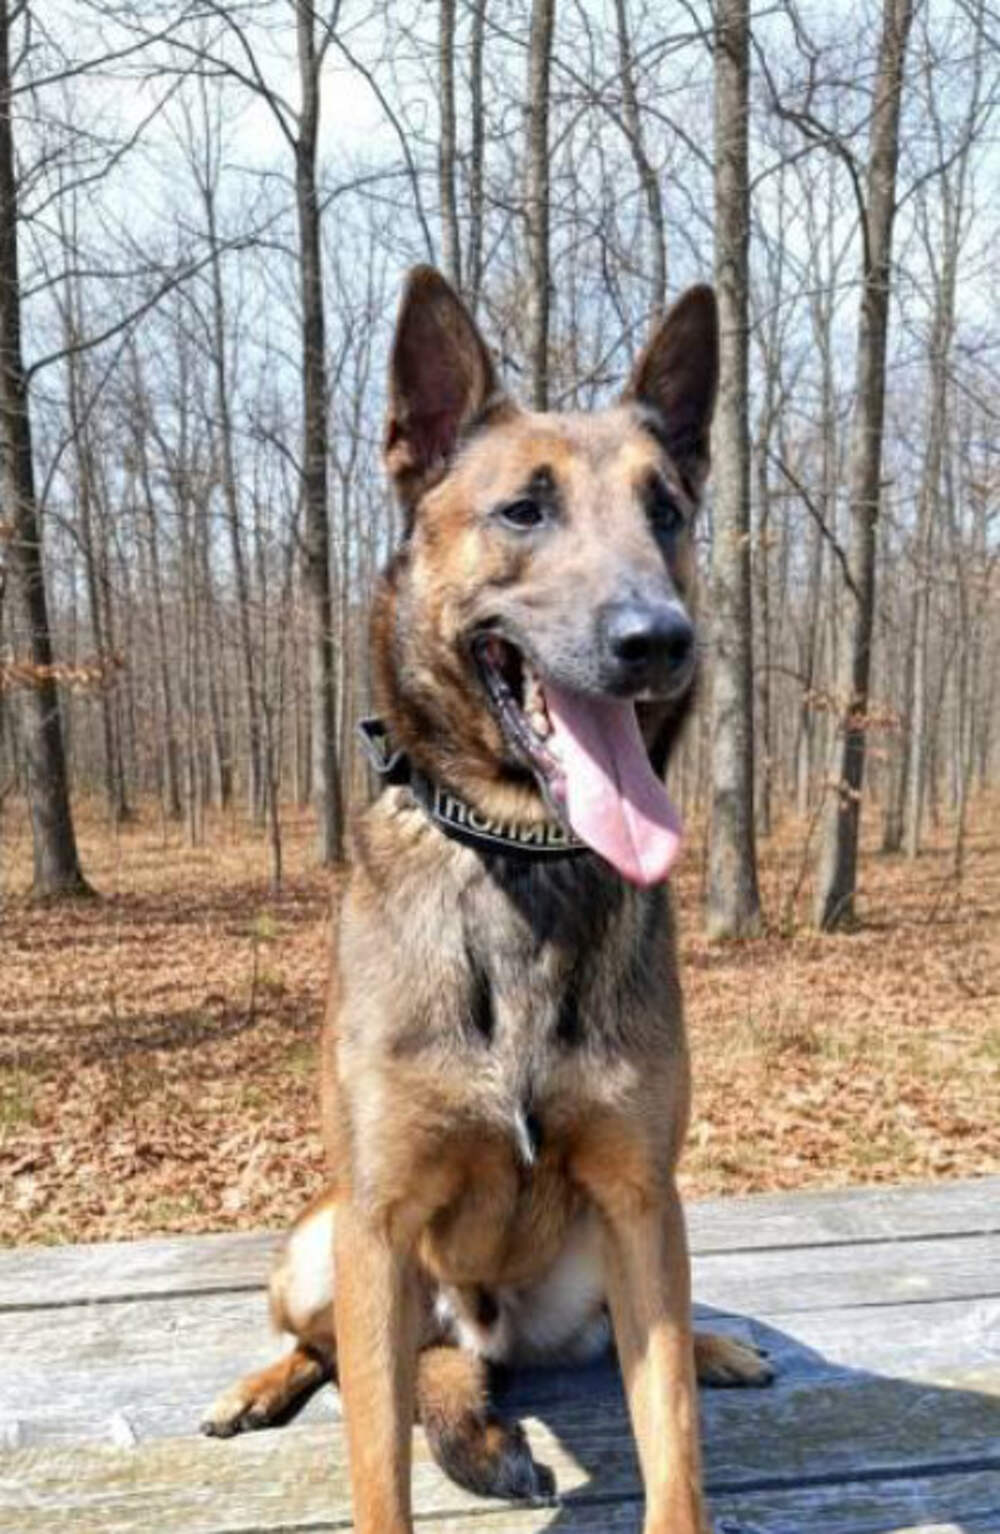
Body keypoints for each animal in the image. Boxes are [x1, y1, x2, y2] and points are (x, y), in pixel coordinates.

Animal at [202, 267, 772, 1534]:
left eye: (668, 512)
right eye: (524, 512)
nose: (660, 639)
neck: (517, 862)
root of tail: (489, 1326)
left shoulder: (639, 1197)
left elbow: (675, 1448)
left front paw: (692, 1390)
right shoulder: (375, 1229)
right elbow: (377, 1460)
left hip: (621, 1247)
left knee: (624, 1331)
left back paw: (713, 1345)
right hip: (320, 1244)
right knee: (338, 1349)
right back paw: (264, 1384)